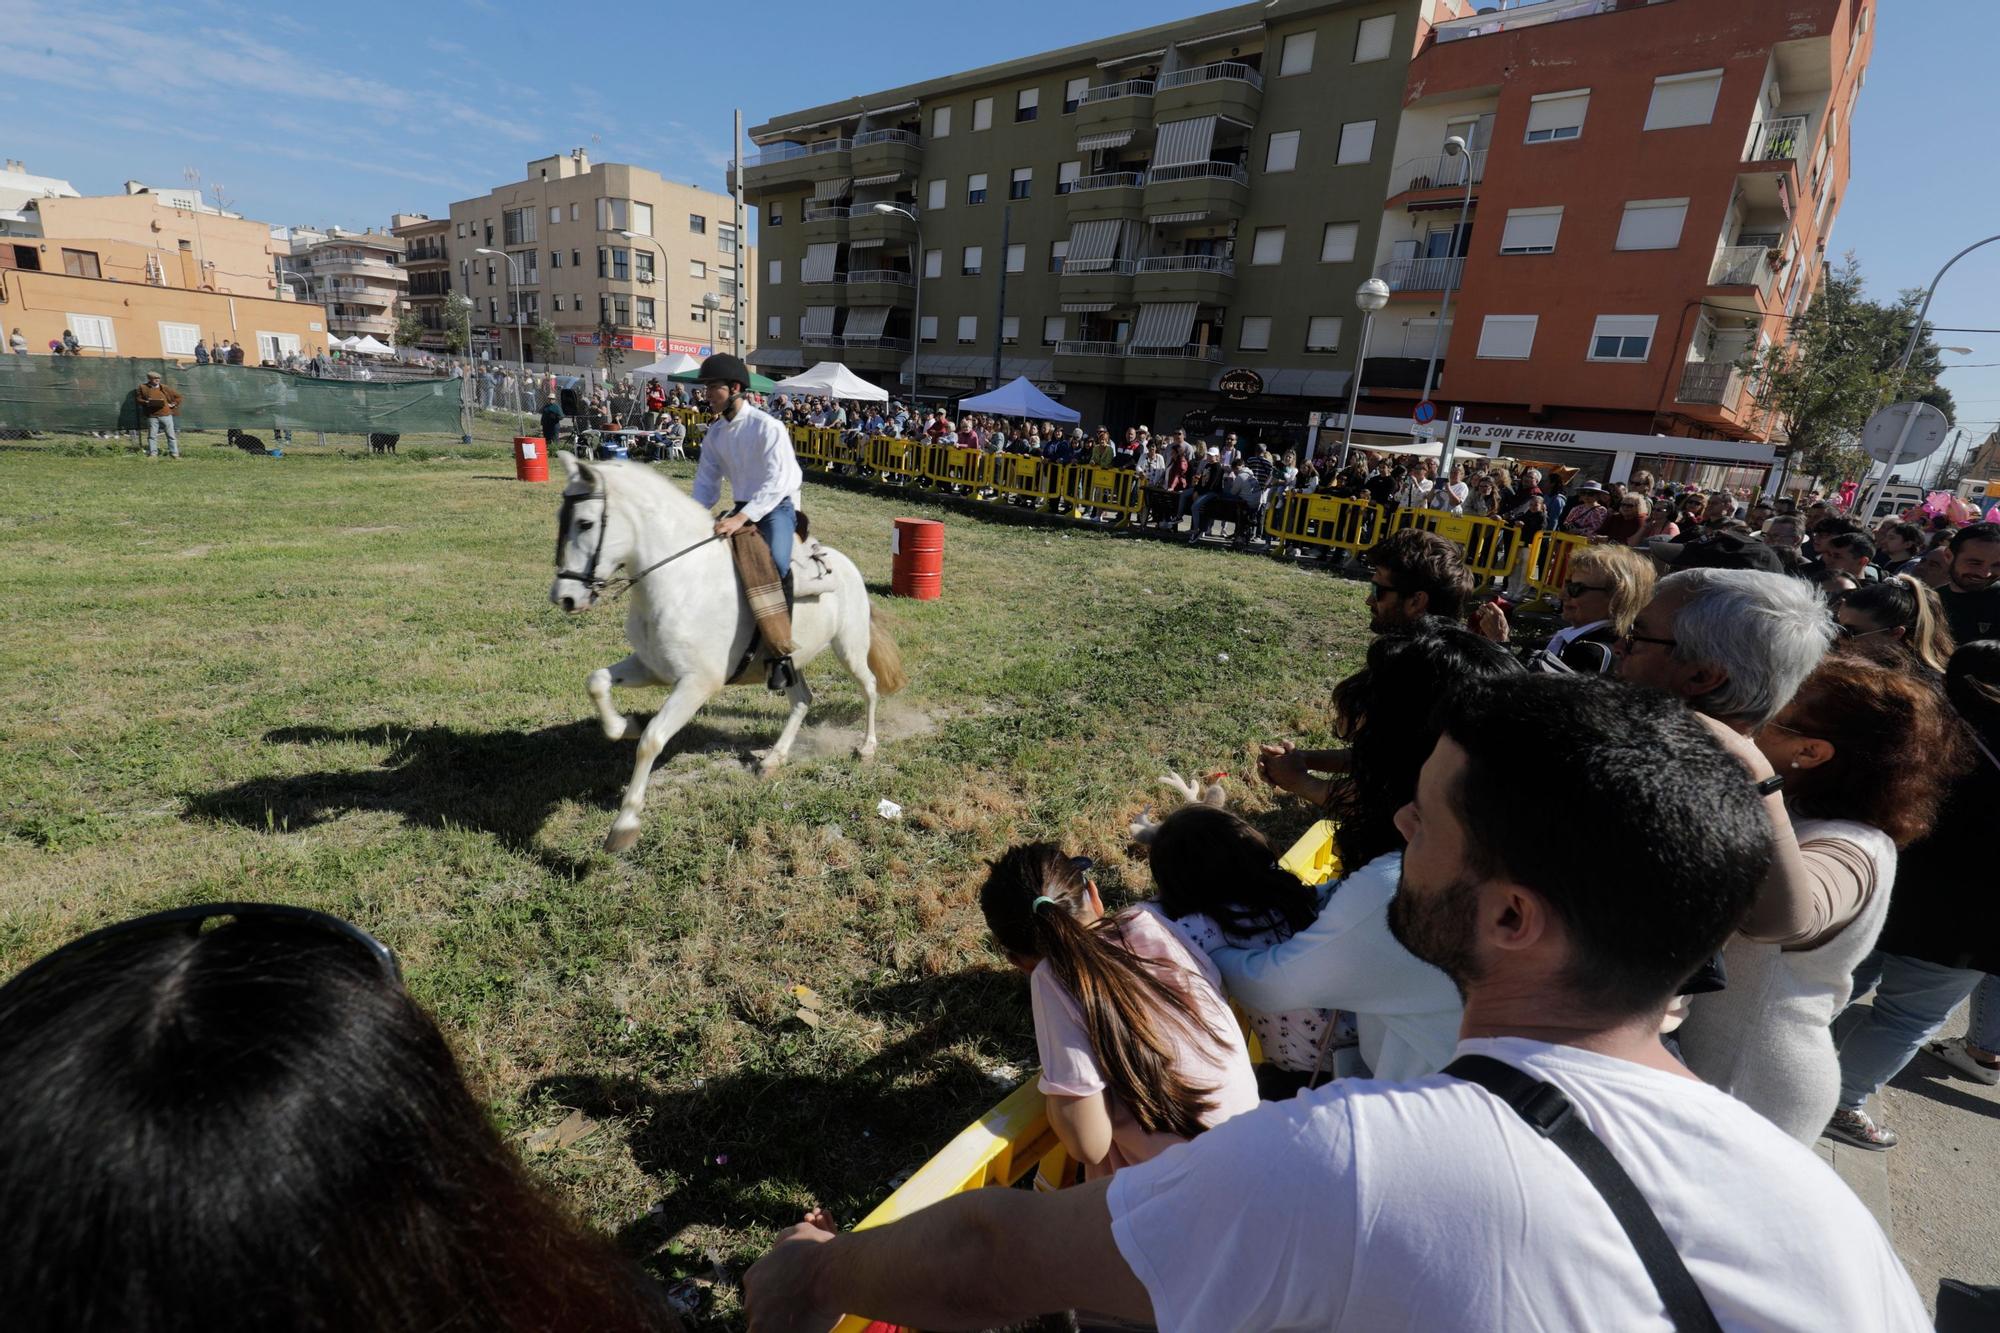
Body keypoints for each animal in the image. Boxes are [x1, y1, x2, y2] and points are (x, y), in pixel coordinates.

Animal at [548, 454, 908, 852]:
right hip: (790, 662)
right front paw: (624, 726)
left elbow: (652, 739)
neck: (683, 580)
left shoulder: (696, 684)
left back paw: (867, 748)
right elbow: (597, 682)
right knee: (802, 700)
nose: (565, 598)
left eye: (585, 523)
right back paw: (773, 759)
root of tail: (845, 565)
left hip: (850, 648)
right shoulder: (650, 667)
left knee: (869, 687)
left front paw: (625, 823)